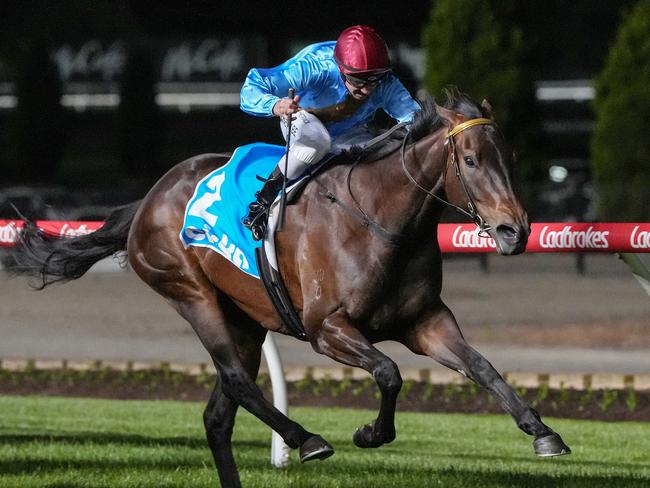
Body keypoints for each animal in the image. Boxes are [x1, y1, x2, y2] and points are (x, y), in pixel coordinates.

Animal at [2, 91, 568, 488]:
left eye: (509, 155)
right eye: (470, 161)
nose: (516, 231)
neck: (382, 219)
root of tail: (146, 201)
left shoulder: (425, 320)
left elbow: (482, 367)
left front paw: (543, 432)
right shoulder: (327, 328)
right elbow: (388, 372)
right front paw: (370, 433)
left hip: (245, 321)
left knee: (218, 414)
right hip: (191, 293)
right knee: (237, 380)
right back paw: (306, 438)